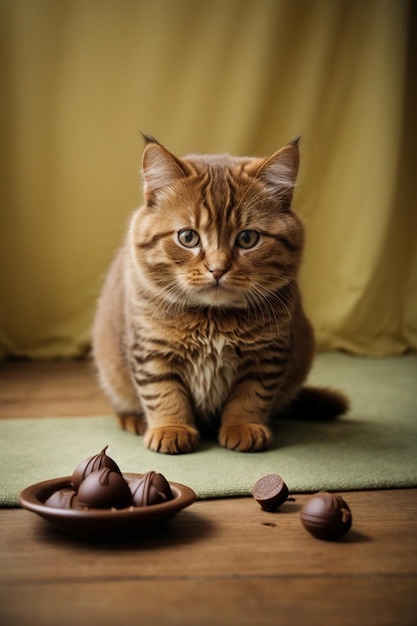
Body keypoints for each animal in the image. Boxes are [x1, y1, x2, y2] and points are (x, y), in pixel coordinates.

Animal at [92, 134, 348, 454]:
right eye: (188, 237)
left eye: (247, 238)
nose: (217, 269)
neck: (212, 319)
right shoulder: (152, 352)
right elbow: (164, 394)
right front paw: (171, 429)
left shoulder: (267, 357)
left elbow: (250, 397)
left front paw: (244, 427)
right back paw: (134, 420)